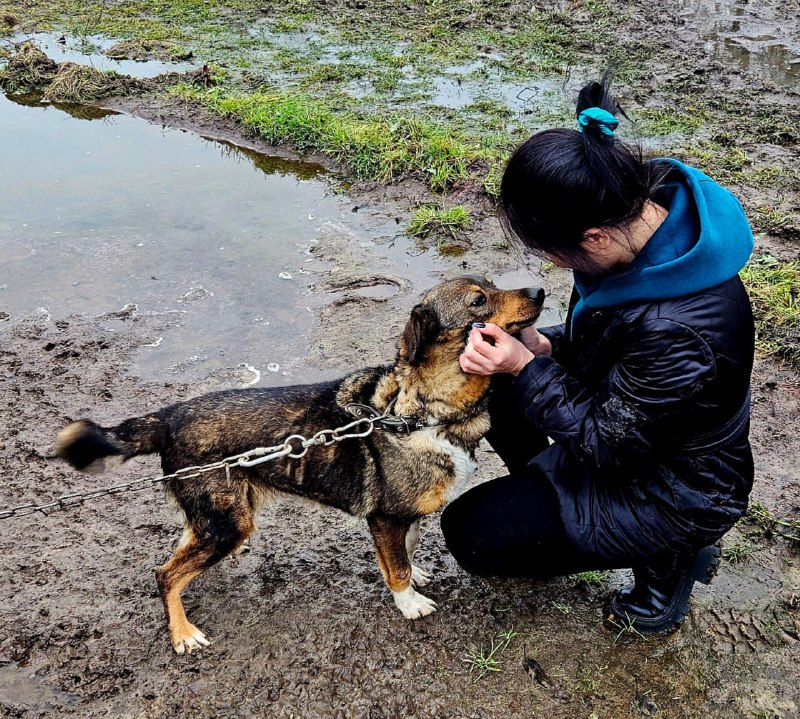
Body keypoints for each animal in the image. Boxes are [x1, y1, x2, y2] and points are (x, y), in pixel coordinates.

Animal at [56, 274, 544, 652]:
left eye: (493, 283)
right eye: (478, 301)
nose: (540, 290)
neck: (427, 411)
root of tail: (170, 416)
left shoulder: (404, 515)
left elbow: (407, 547)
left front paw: (415, 572)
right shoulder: (384, 517)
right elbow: (397, 566)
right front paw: (408, 602)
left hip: (217, 520)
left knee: (178, 553)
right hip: (226, 524)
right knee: (166, 574)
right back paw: (182, 633)